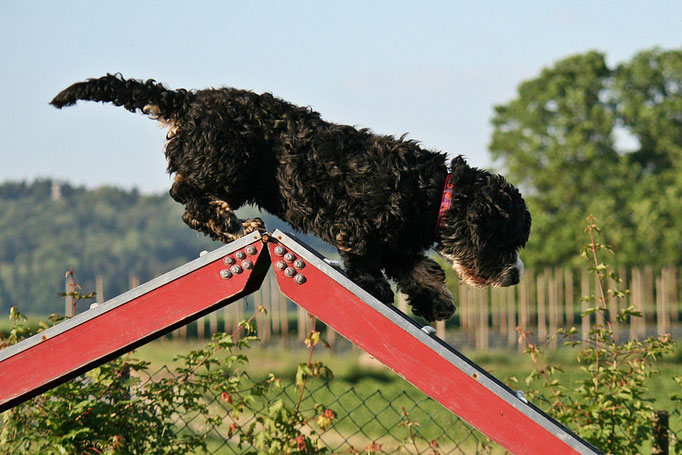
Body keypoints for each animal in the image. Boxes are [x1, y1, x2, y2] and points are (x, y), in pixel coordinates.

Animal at [51, 75, 532, 322]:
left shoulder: (399, 246)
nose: (515, 277)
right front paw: (378, 289)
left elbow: (423, 271)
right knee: (187, 197)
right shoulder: (358, 229)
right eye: (504, 241)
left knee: (186, 199)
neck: (434, 194)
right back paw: (236, 224)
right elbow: (370, 266)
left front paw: (438, 302)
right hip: (232, 163)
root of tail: (188, 103)